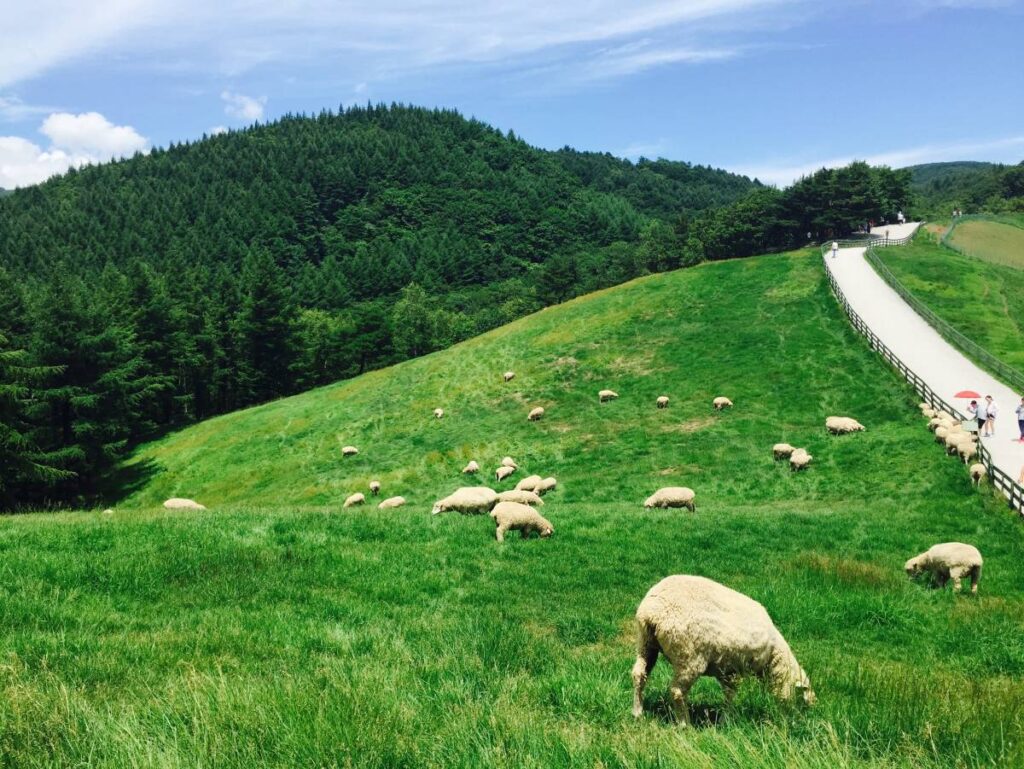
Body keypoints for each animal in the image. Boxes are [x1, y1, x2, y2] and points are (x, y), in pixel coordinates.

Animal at [631, 575, 815, 725]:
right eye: (803, 701)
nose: (799, 722)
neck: (773, 661)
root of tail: (652, 611)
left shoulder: (727, 670)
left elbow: (729, 694)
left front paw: (725, 719)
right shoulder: (736, 667)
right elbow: (731, 694)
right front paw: (726, 719)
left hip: (646, 643)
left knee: (639, 674)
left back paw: (637, 712)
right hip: (689, 656)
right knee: (677, 691)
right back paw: (685, 724)